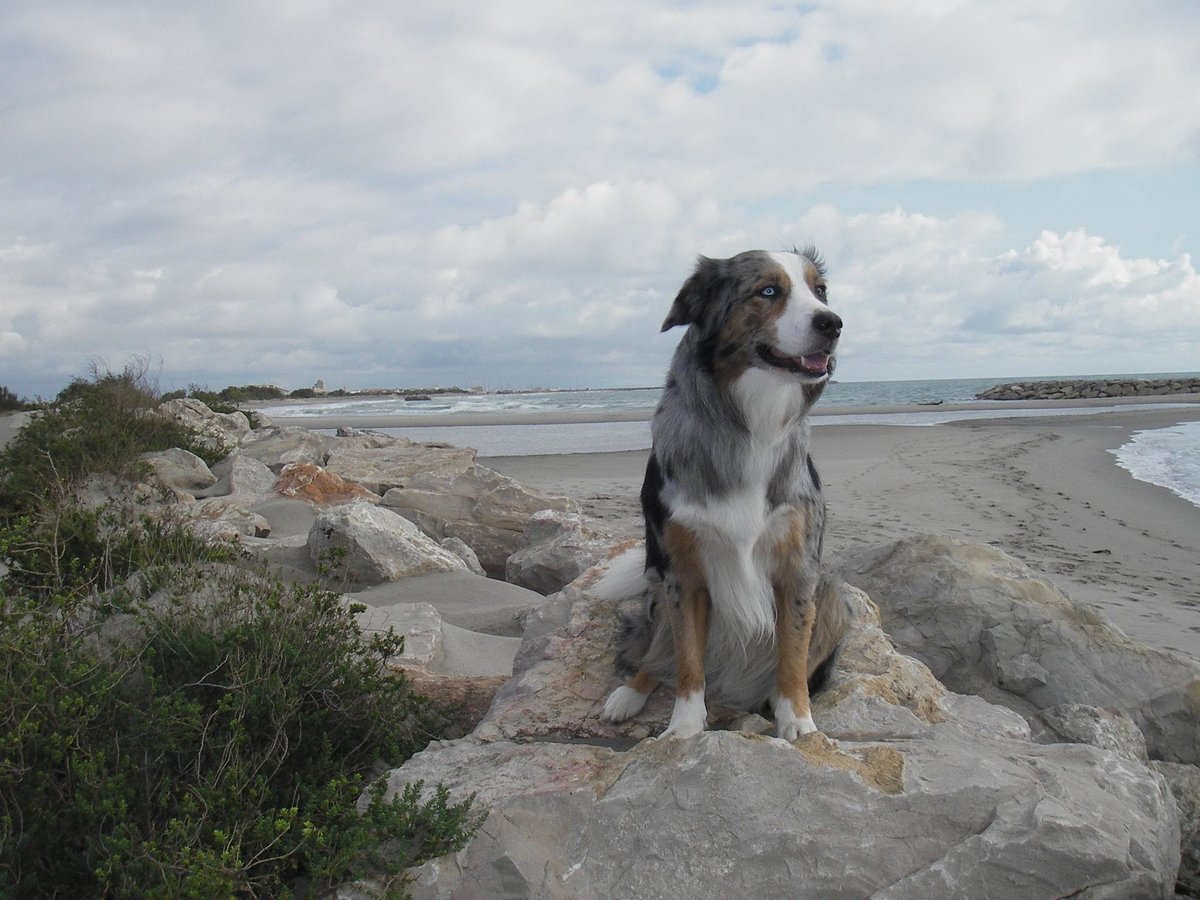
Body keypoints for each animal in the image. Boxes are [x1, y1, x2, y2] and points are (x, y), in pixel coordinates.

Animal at [597, 247, 849, 739]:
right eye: (767, 291)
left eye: (820, 290)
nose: (833, 323)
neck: (749, 425)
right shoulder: (684, 573)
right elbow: (687, 658)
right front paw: (684, 727)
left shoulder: (799, 566)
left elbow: (793, 654)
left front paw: (798, 721)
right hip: (657, 585)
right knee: (655, 652)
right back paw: (629, 694)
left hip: (832, 593)